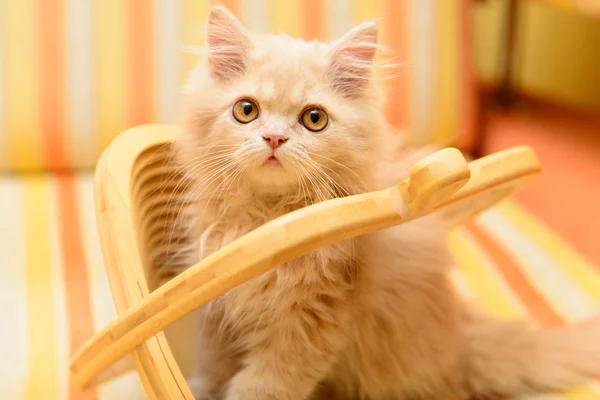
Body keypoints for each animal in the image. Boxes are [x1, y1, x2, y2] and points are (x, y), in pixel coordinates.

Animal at [173, 6, 600, 400]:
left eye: (314, 119)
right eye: (246, 110)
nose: (274, 139)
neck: (270, 219)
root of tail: (461, 342)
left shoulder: (307, 326)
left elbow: (261, 386)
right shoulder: (217, 313)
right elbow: (211, 372)